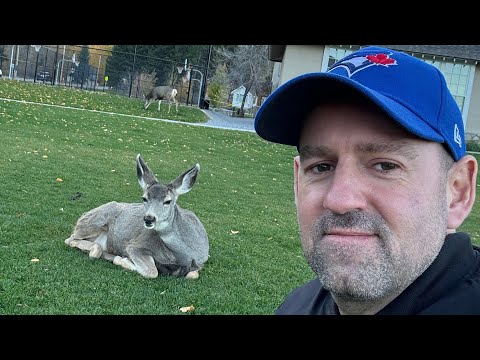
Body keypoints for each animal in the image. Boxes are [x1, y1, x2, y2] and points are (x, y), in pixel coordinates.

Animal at [63, 153, 208, 280]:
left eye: (168, 201)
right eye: (144, 198)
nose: (149, 218)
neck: (186, 254)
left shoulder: (200, 264)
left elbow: (193, 275)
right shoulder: (136, 246)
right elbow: (152, 272)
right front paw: (121, 259)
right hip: (93, 221)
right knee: (71, 239)